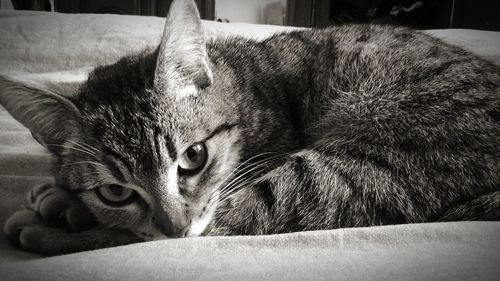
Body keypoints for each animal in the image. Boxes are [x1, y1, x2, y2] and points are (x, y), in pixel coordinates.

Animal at [0, 0, 500, 255]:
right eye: (115, 191)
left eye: (193, 157)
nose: (175, 228)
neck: (241, 84)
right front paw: (60, 194)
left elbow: (147, 233)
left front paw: (61, 208)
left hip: (351, 168)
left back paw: (44, 230)